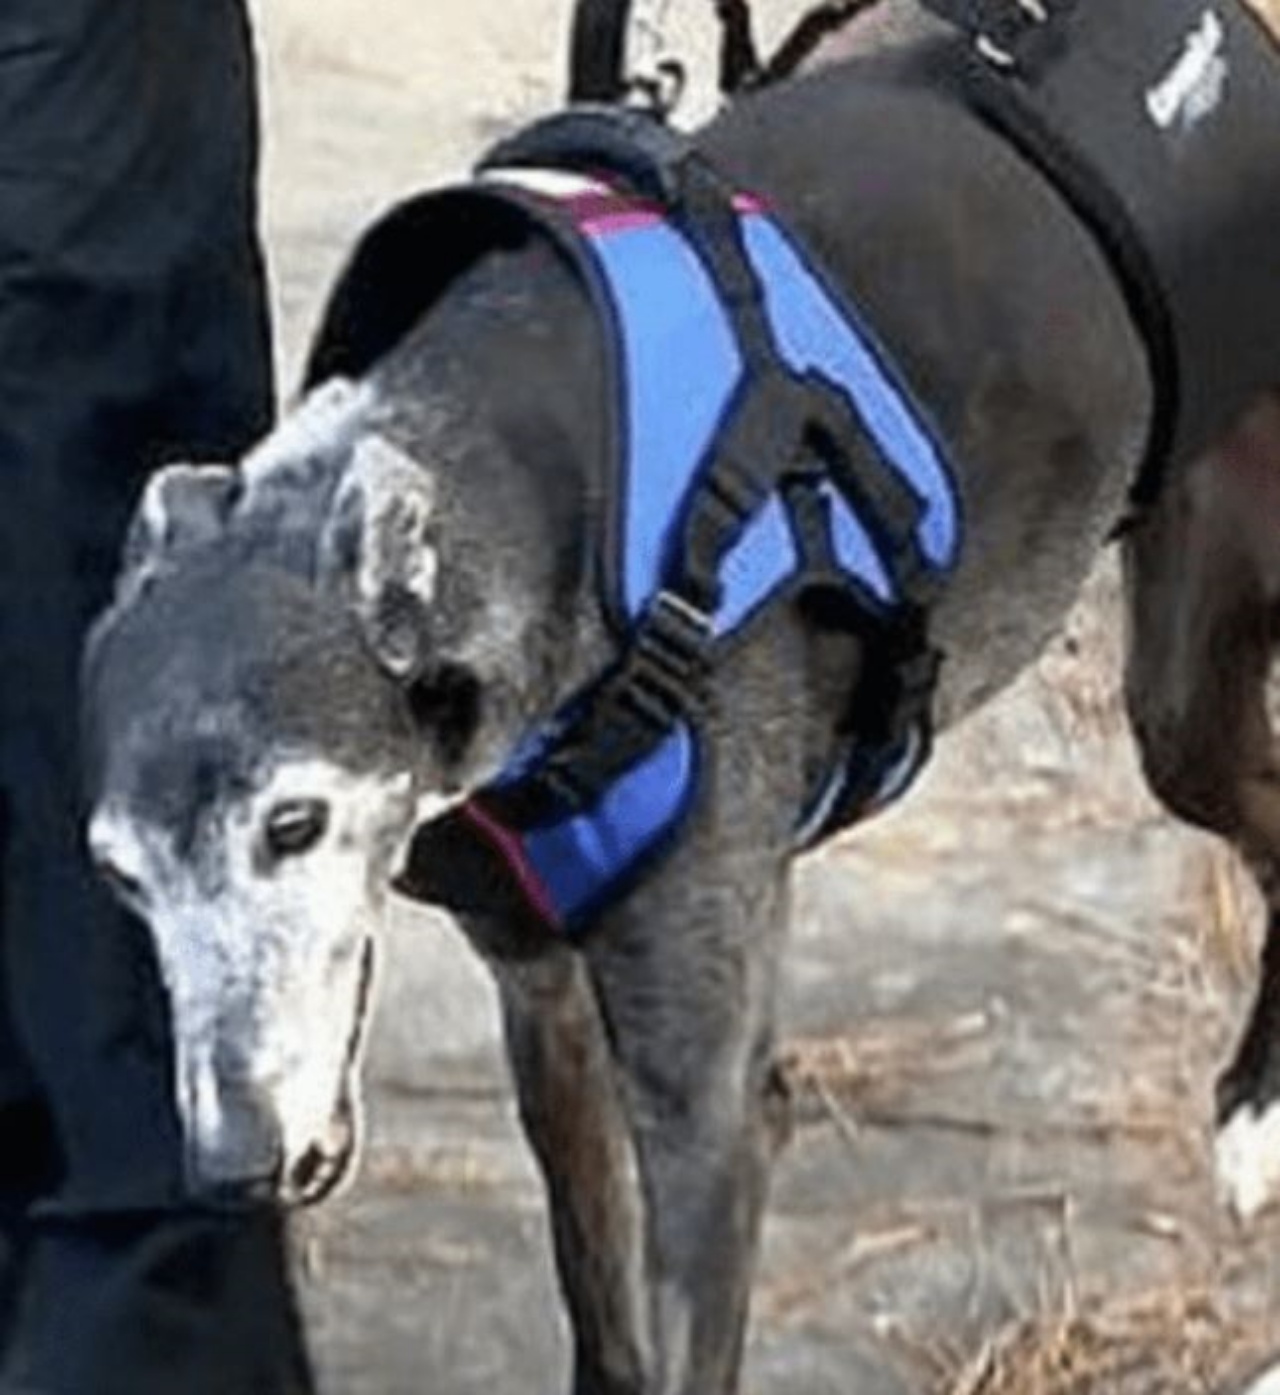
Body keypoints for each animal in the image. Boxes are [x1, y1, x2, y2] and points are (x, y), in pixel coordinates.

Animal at [77, 2, 1280, 1395]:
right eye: (117, 876)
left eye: (294, 822)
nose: (236, 1167)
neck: (559, 475)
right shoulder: (544, 1005)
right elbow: (597, 1303)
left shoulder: (705, 1114)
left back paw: (1255, 1115)